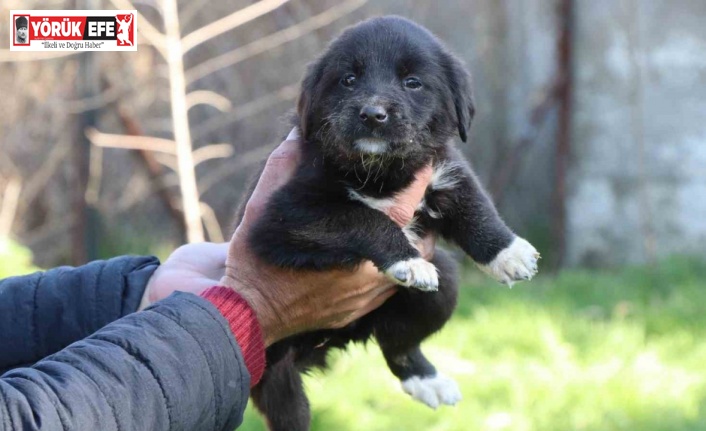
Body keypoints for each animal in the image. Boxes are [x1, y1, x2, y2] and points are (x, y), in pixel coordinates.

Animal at [236, 16, 540, 431]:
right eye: (348, 79)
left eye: (412, 82)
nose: (372, 114)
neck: (380, 173)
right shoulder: (284, 215)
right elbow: (362, 216)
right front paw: (407, 259)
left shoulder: (443, 170)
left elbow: (475, 205)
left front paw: (508, 253)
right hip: (271, 362)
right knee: (287, 407)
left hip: (442, 288)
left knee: (399, 345)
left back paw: (427, 380)